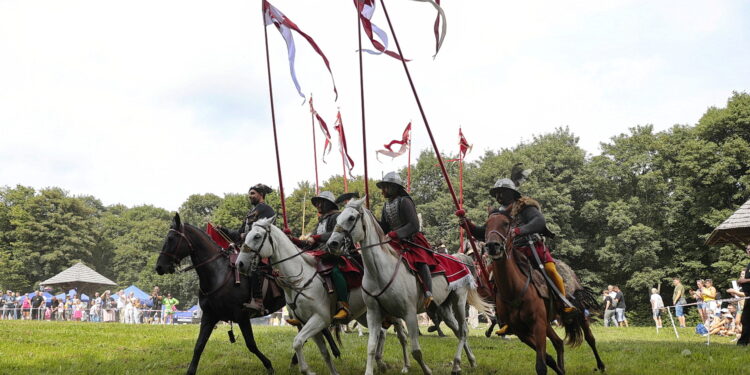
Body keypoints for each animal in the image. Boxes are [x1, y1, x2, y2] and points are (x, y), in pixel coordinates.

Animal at [156, 214, 288, 375]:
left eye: (171, 238)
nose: (159, 267)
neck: (218, 273)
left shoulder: (242, 316)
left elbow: (251, 344)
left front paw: (269, 365)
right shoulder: (209, 316)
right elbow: (199, 345)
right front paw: (190, 371)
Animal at [236, 217, 408, 375]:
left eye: (257, 236)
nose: (240, 264)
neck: (300, 277)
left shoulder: (319, 319)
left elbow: (297, 342)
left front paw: (306, 370)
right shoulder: (308, 323)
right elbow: (324, 352)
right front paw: (333, 372)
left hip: (391, 311)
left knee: (401, 335)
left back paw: (405, 365)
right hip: (365, 315)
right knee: (381, 333)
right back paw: (380, 363)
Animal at [328, 197, 494, 375]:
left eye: (351, 218)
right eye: (337, 219)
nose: (332, 243)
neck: (380, 271)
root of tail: (460, 258)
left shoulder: (409, 313)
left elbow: (416, 350)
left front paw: (426, 370)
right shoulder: (374, 314)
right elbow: (371, 347)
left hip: (459, 301)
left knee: (463, 330)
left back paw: (457, 363)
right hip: (444, 306)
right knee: (457, 330)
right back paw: (470, 361)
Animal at [484, 210, 608, 374]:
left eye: (505, 224)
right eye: (486, 225)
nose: (493, 246)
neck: (514, 290)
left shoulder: (538, 324)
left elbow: (541, 365)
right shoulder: (522, 331)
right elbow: (547, 358)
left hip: (579, 311)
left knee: (590, 338)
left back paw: (601, 365)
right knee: (559, 343)